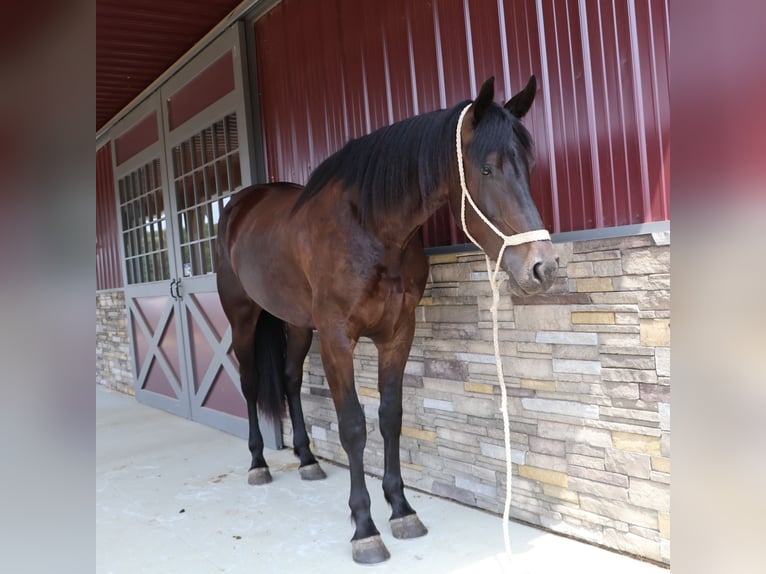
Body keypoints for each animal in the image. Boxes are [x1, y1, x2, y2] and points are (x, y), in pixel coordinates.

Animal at [215, 76, 558, 563]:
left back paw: (307, 460)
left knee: (289, 380)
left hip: (297, 323)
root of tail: (238, 204)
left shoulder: (398, 333)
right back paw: (258, 463)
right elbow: (353, 427)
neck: (370, 229)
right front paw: (365, 529)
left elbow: (390, 417)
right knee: (248, 384)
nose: (543, 268)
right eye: (487, 169)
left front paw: (401, 509)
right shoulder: (338, 338)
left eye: (527, 166)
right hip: (243, 316)